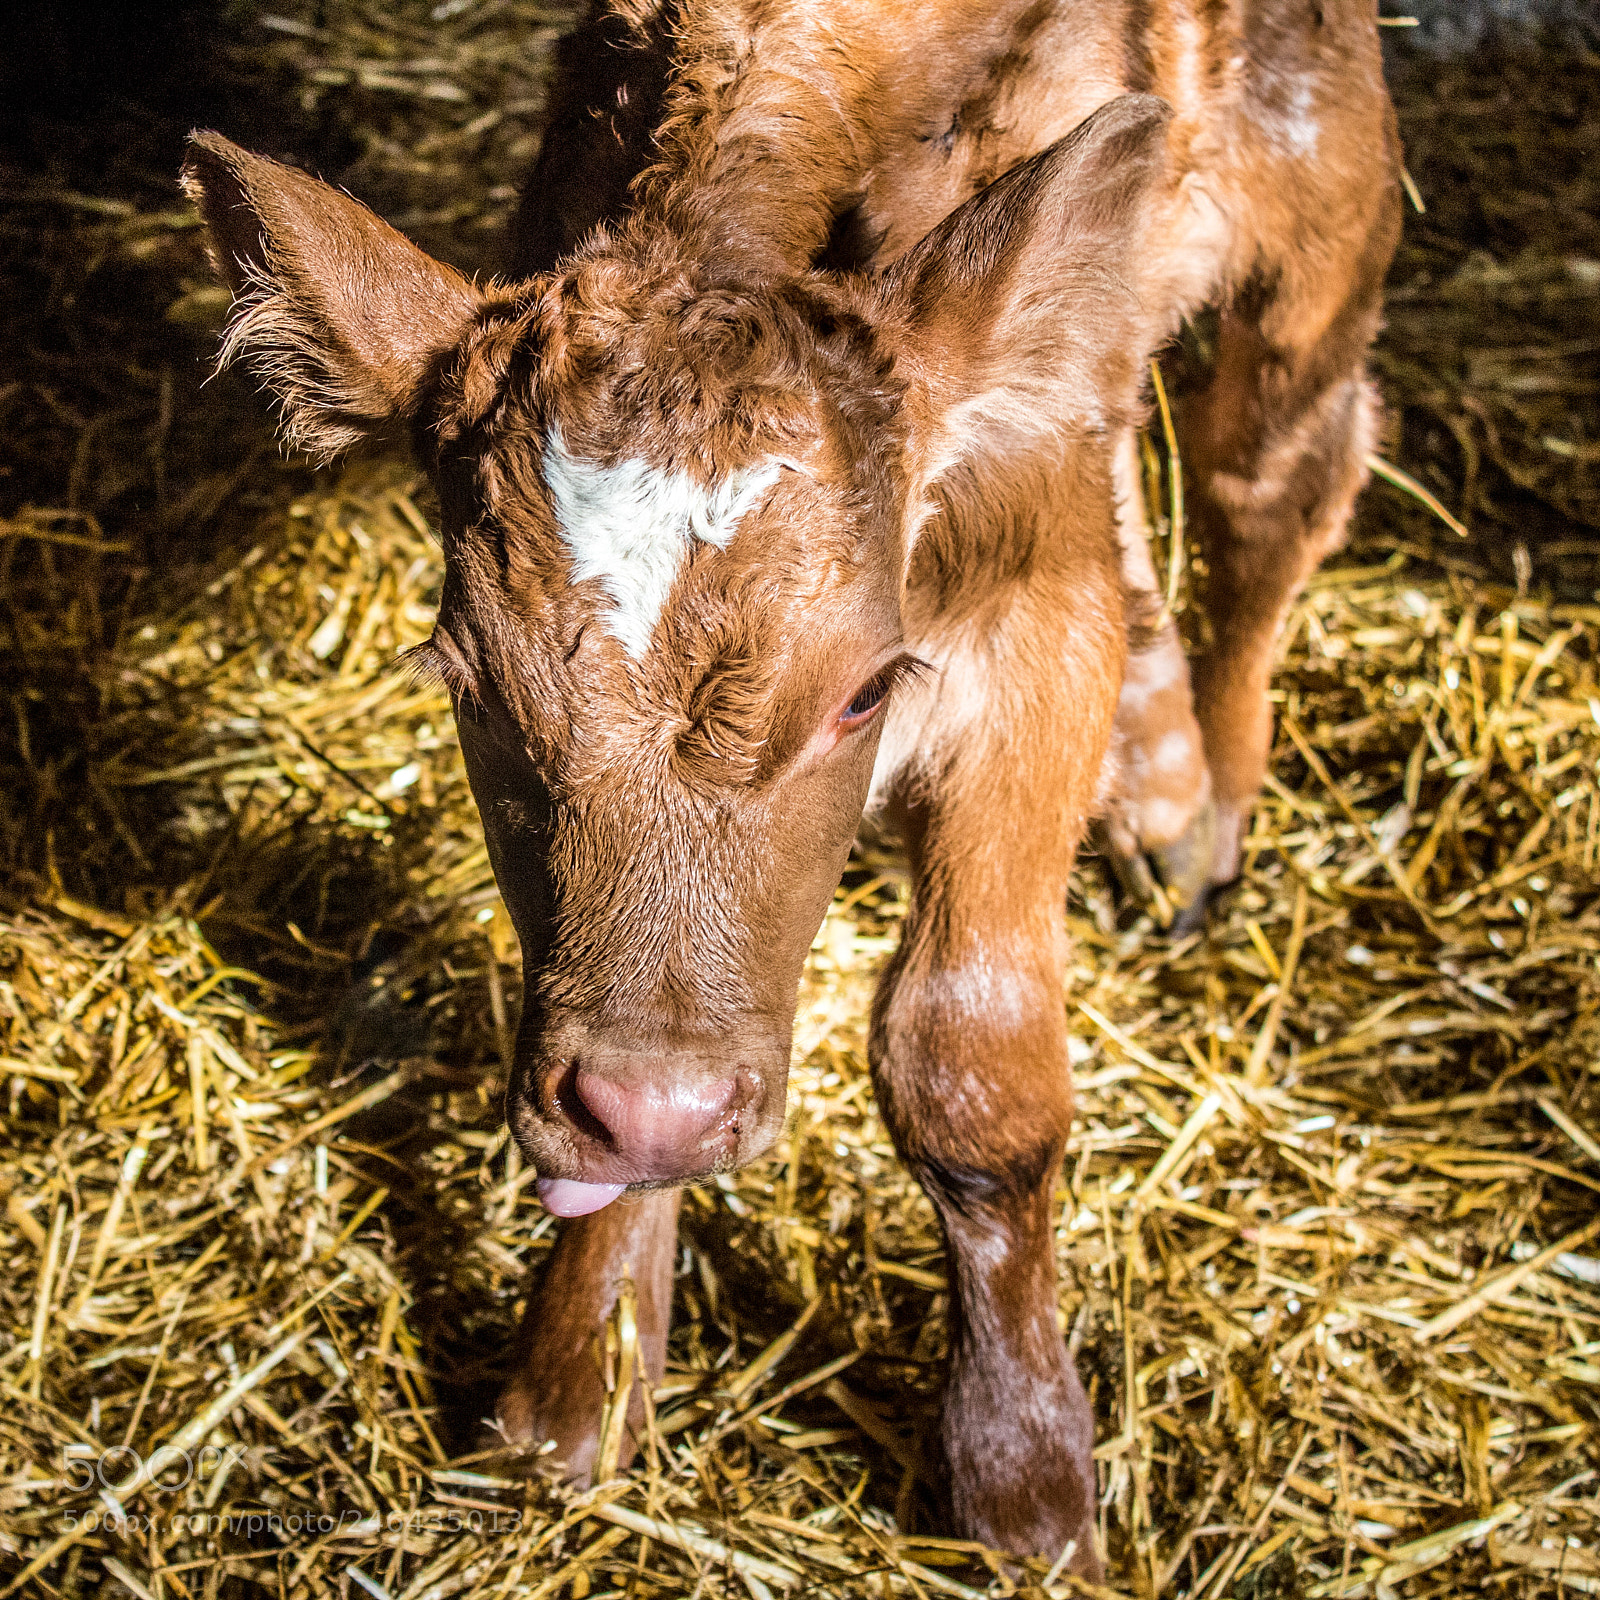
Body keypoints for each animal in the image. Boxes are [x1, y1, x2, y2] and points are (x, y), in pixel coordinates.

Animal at [181, 0, 1399, 1576]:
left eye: (867, 692)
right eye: (468, 682)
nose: (659, 1108)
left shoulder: (1032, 618)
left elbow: (968, 1063)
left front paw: (1025, 1482)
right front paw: (576, 1390)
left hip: (1318, 189)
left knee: (1275, 473)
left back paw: (1211, 807)